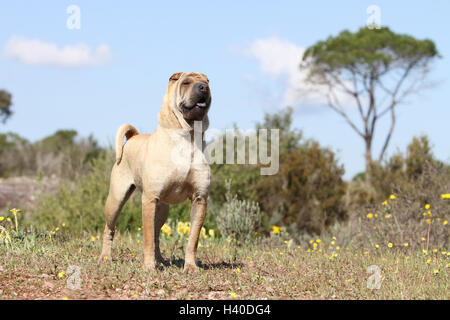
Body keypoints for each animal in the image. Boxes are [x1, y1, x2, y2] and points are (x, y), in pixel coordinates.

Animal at [98, 72, 211, 272]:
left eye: (207, 82)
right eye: (186, 82)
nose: (203, 87)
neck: (187, 137)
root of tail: (133, 137)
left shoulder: (200, 199)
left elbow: (193, 240)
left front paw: (190, 267)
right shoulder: (150, 199)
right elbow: (148, 239)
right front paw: (149, 267)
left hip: (163, 209)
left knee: (158, 234)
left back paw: (161, 260)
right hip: (116, 199)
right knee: (109, 229)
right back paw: (105, 257)